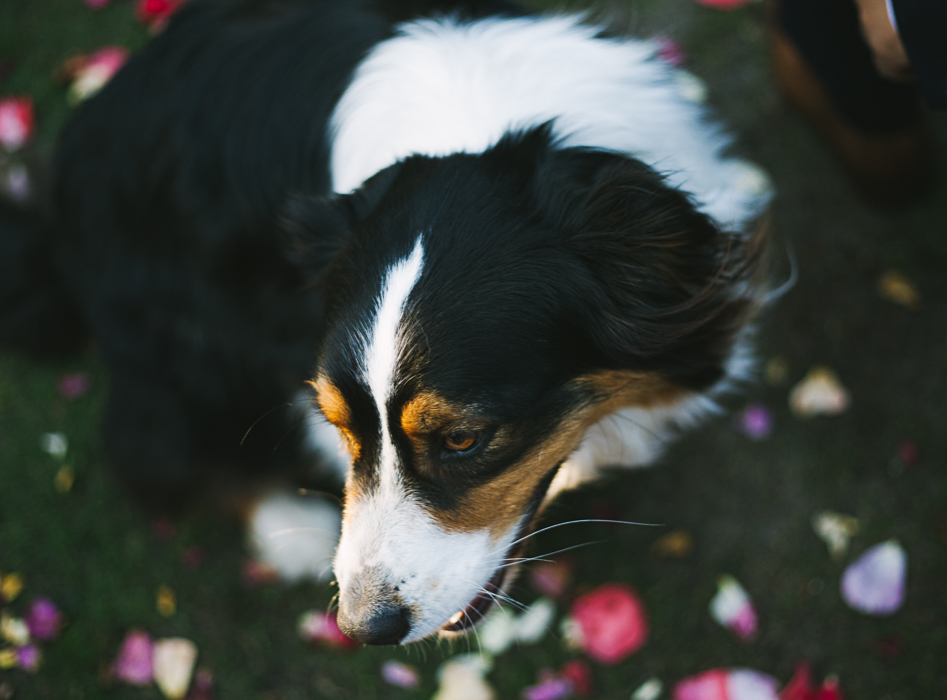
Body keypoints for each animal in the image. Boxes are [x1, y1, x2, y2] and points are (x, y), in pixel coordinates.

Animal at [0, 0, 772, 644]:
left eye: (463, 439)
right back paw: (286, 527)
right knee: (151, 446)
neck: (475, 126)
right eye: (339, 425)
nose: (363, 628)